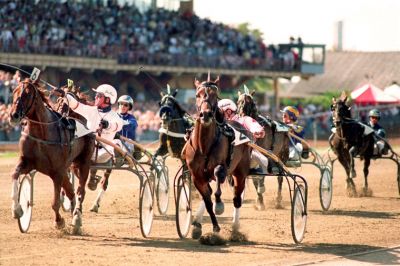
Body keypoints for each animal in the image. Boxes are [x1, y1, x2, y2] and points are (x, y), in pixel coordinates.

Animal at [9, 79, 95, 233]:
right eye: (14, 91)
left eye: (27, 94)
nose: (13, 115)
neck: (41, 132)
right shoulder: (28, 162)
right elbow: (14, 174)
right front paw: (17, 209)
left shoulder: (57, 172)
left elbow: (55, 203)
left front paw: (59, 221)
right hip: (69, 167)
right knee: (71, 191)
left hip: (83, 163)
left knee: (80, 191)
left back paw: (77, 219)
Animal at [184, 76, 252, 238]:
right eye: (197, 95)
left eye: (215, 95)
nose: (206, 114)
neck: (203, 146)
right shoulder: (197, 176)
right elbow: (207, 201)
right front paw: (213, 227)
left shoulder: (222, 166)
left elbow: (218, 175)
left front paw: (219, 205)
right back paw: (197, 223)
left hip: (240, 172)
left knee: (237, 199)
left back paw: (235, 229)